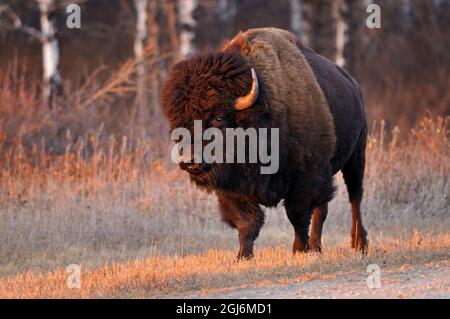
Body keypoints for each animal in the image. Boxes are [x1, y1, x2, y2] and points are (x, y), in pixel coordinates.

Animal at [162, 26, 370, 258]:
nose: (189, 160)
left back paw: (359, 244)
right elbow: (247, 222)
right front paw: (243, 256)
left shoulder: (305, 177)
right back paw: (317, 247)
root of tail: (354, 86)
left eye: (219, 118)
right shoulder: (234, 188)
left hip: (356, 158)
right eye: (180, 122)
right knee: (323, 208)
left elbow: (297, 216)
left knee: (354, 198)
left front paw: (299, 250)